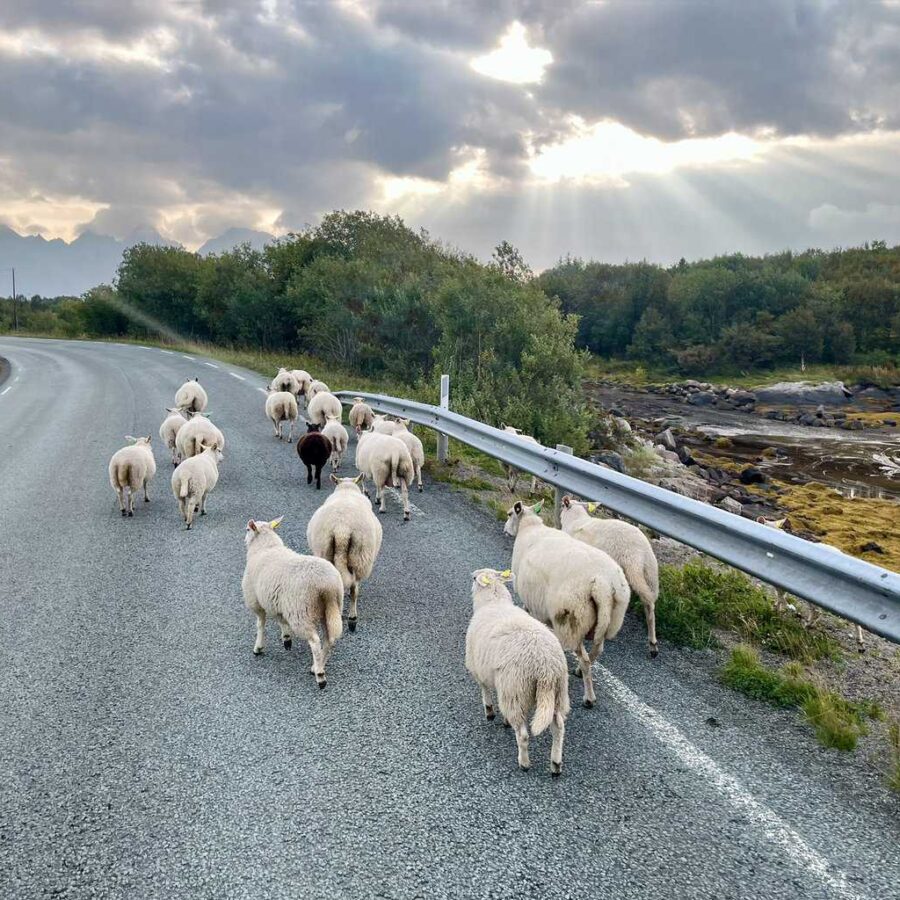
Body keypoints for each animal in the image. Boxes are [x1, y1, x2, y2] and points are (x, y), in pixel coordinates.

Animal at [241, 512, 342, 688]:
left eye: (248, 529)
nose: (244, 539)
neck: (266, 548)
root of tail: (327, 585)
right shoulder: (277, 601)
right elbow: (281, 620)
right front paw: (286, 638)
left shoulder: (256, 601)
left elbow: (260, 624)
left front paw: (258, 648)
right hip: (330, 609)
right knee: (329, 640)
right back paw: (317, 666)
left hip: (301, 612)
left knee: (315, 641)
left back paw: (320, 675)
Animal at [308, 474, 382, 628]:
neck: (347, 490)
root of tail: (342, 529)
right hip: (358, 556)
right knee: (354, 588)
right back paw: (352, 618)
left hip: (326, 552)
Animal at [464, 568, 568, 772]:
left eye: (474, 578)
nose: (472, 576)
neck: (494, 602)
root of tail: (545, 667)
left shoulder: (478, 668)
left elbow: (485, 690)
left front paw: (490, 712)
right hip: (558, 693)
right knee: (558, 728)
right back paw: (556, 764)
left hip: (515, 691)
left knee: (523, 734)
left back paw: (524, 763)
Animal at [502, 502, 628, 708]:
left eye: (509, 514)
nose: (505, 530)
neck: (530, 527)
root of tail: (602, 582)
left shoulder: (531, 601)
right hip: (609, 619)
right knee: (597, 650)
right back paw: (579, 671)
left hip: (573, 620)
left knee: (584, 658)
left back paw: (589, 697)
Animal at [564, 496, 660, 656]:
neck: (576, 521)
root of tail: (640, 551)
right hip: (650, 573)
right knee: (649, 604)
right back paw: (653, 644)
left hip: (628, 569)